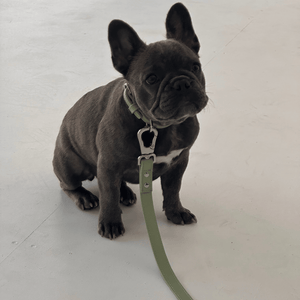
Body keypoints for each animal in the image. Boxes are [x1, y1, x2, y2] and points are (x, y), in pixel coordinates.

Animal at [52, 1, 207, 237]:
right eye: (151, 79)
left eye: (195, 67)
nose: (182, 83)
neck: (161, 127)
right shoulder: (108, 165)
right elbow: (108, 197)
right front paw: (110, 222)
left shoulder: (180, 161)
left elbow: (173, 190)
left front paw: (176, 212)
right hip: (71, 164)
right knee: (70, 185)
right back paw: (85, 197)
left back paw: (125, 192)